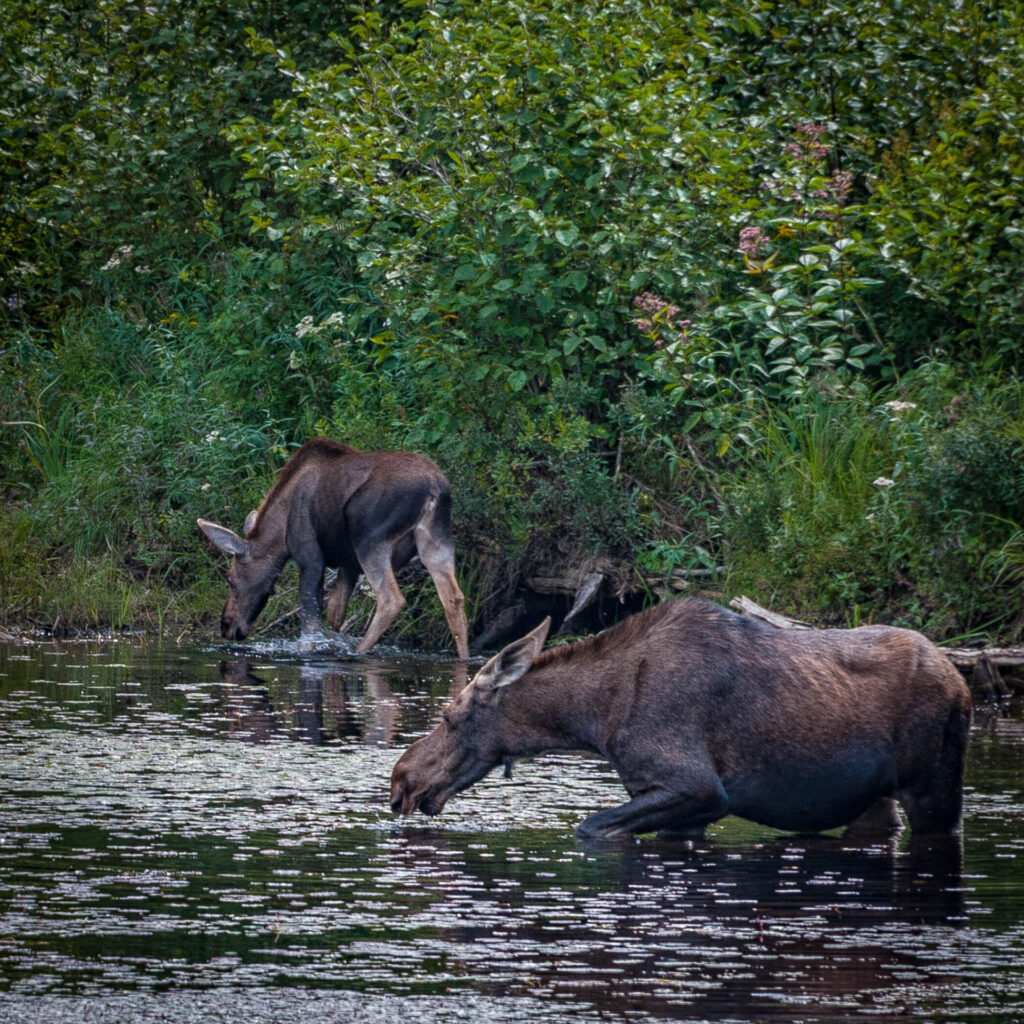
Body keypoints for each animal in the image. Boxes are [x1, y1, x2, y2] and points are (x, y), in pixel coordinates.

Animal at [197, 438, 468, 659]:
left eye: (230, 579)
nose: (226, 626)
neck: (279, 534)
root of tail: (434, 486)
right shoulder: (349, 564)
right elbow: (335, 613)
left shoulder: (310, 558)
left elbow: (310, 620)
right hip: (437, 541)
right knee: (453, 598)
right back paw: (464, 659)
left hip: (369, 538)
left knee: (392, 599)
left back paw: (358, 652)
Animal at [389, 598, 966, 835]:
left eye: (448, 716)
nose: (400, 781)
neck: (596, 720)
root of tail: (962, 684)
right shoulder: (683, 808)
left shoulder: (696, 787)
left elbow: (591, 828)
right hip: (873, 801)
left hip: (934, 786)